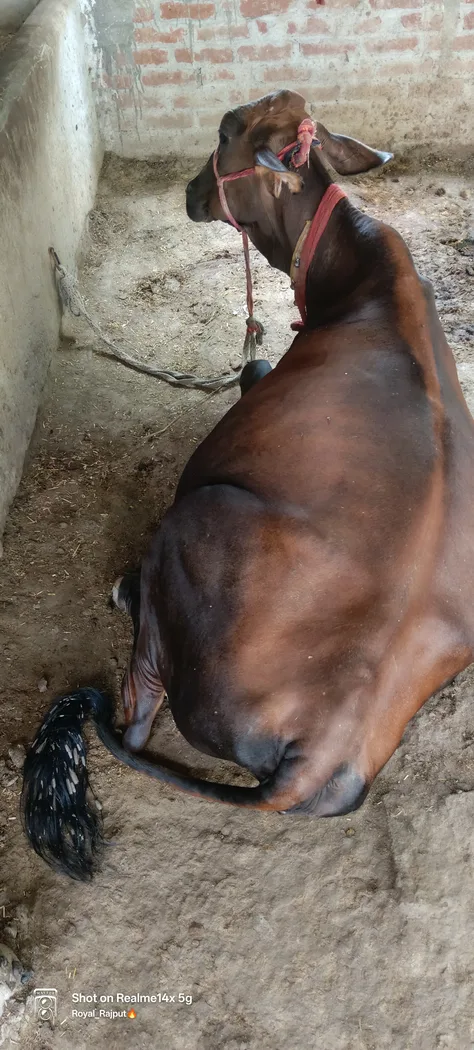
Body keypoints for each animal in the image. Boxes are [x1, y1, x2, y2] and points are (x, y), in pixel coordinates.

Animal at [22, 90, 474, 881]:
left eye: (227, 129)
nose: (188, 189)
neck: (355, 275)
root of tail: (321, 753)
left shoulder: (258, 381)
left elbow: (252, 366)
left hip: (195, 519)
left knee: (138, 710)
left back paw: (126, 597)